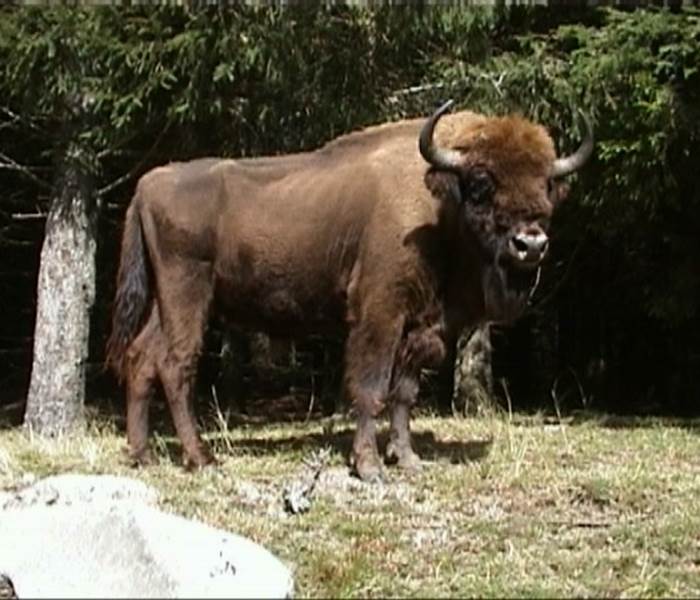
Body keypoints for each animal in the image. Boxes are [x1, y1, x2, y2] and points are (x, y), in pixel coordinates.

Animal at [106, 101, 592, 482]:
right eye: (480, 184)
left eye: (546, 184)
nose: (530, 245)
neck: (435, 204)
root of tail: (147, 185)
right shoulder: (379, 313)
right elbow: (371, 386)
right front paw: (370, 466)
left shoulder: (422, 325)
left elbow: (404, 392)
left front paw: (408, 459)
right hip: (187, 293)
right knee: (175, 364)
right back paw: (201, 458)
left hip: (163, 301)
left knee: (142, 357)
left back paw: (142, 455)